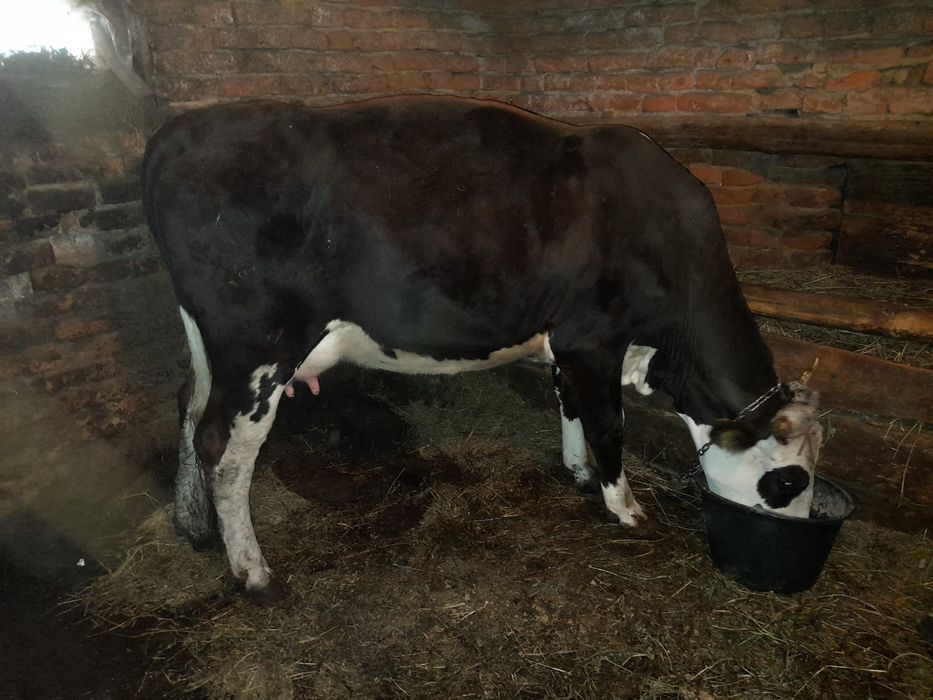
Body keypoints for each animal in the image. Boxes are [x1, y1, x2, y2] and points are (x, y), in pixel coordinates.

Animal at [142, 96, 823, 596]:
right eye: (788, 481)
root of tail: (178, 131)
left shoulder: (568, 346)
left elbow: (569, 406)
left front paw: (577, 471)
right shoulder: (594, 339)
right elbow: (608, 425)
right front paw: (626, 509)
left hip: (207, 338)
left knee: (188, 407)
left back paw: (192, 523)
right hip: (261, 343)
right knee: (224, 446)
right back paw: (253, 572)